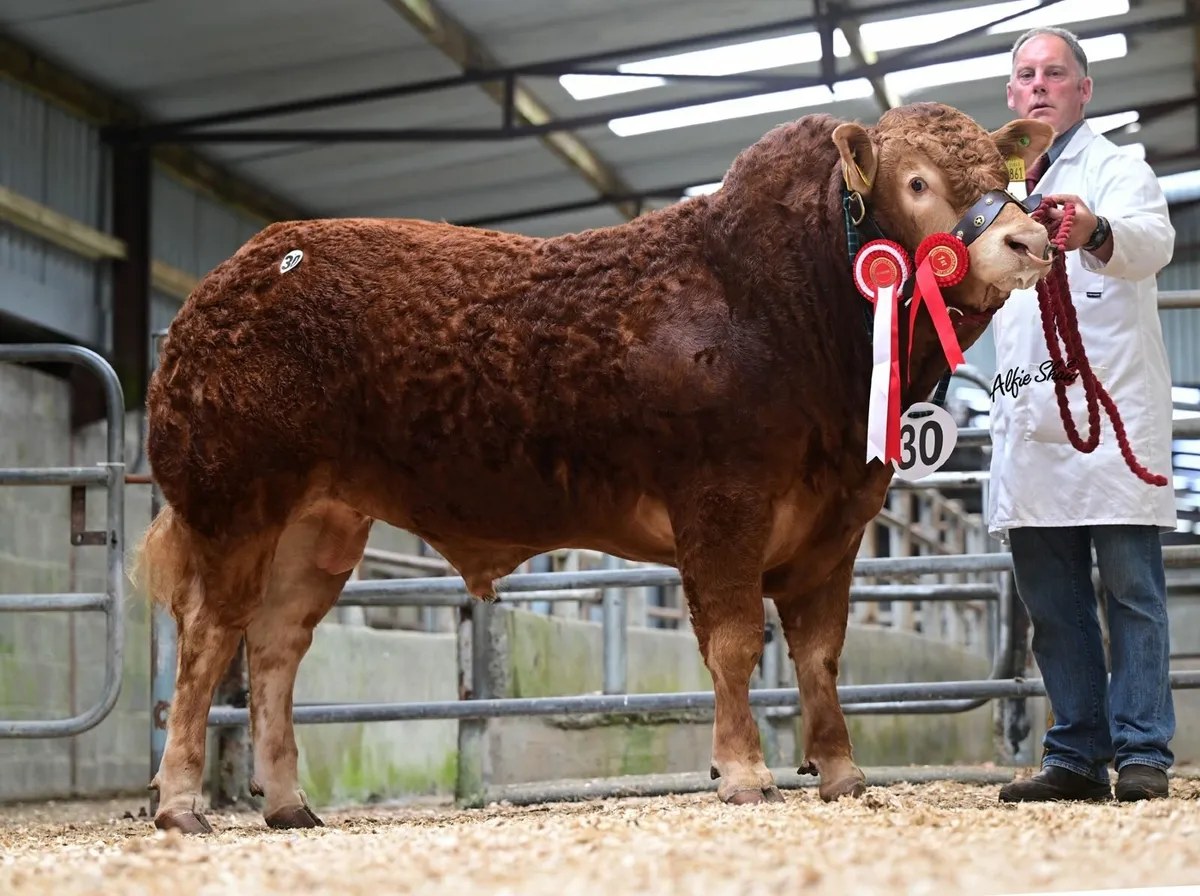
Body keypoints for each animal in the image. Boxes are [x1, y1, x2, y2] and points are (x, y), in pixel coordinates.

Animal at [131, 101, 1054, 833]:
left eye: (999, 173)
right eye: (918, 183)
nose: (1030, 238)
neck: (789, 304)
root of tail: (231, 278)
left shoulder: (837, 519)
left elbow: (821, 653)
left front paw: (841, 773)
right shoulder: (723, 500)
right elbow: (732, 642)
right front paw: (744, 774)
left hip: (319, 524)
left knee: (274, 649)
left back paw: (289, 804)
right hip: (234, 505)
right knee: (207, 642)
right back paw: (179, 805)